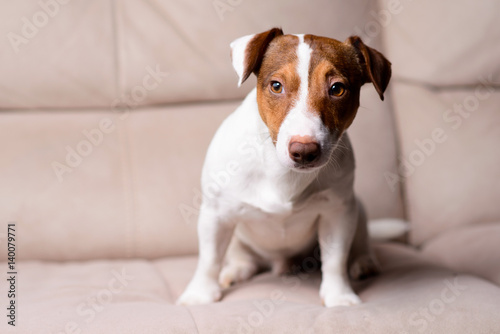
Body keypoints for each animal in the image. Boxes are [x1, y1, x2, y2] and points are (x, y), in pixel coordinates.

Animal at [178, 28, 392, 308]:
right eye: (276, 86)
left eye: (337, 89)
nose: (304, 151)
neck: (281, 172)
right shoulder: (216, 213)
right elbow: (209, 259)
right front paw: (200, 294)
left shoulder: (337, 212)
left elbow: (335, 259)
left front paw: (339, 296)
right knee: (242, 256)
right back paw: (236, 270)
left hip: (357, 208)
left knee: (360, 243)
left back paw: (363, 263)